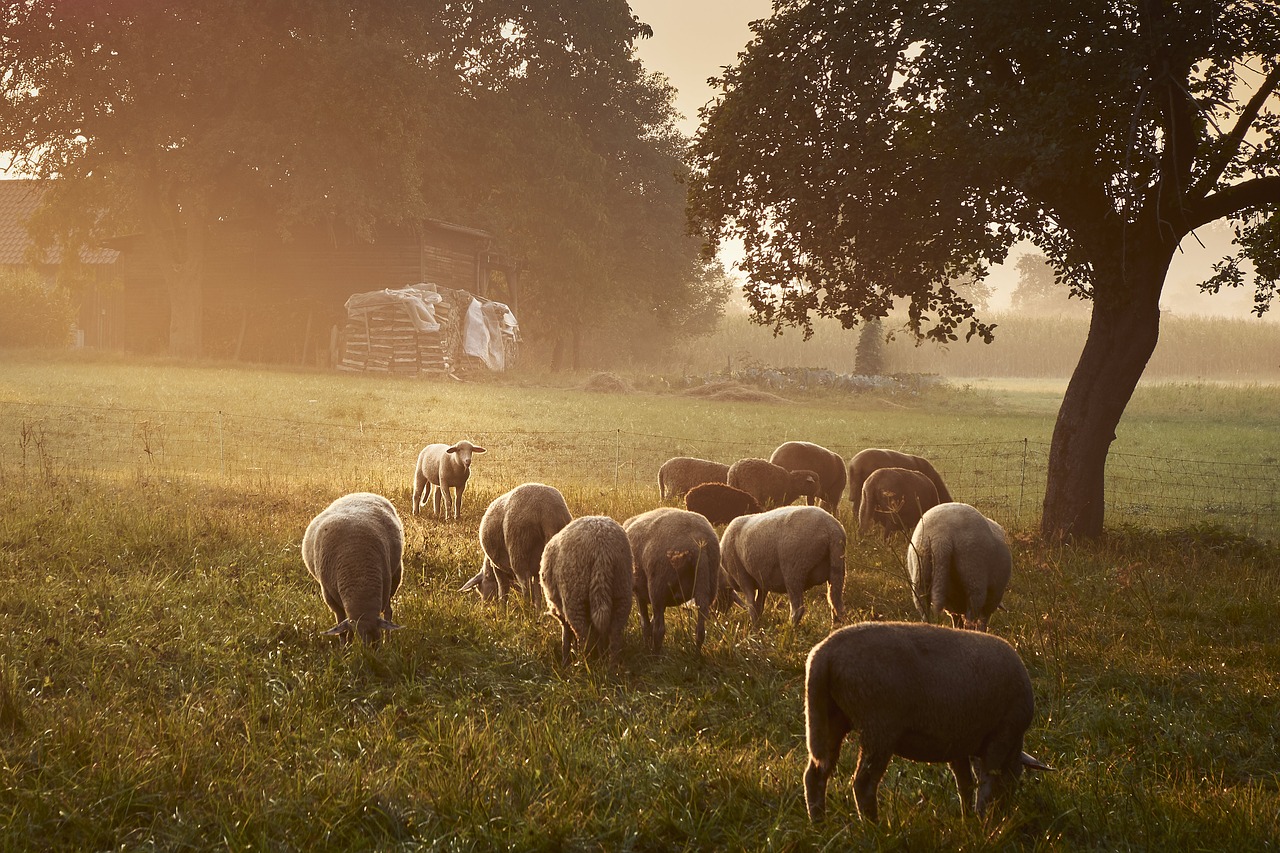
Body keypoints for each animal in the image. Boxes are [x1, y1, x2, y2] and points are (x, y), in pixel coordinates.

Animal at [299, 491, 399, 645]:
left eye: (377, 633)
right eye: (359, 632)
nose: (372, 649)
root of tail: (360, 492)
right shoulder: (330, 596)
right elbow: (342, 623)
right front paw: (345, 646)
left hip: (396, 576)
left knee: (388, 611)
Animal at [537, 512, 632, 666]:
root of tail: (601, 550)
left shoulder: (560, 611)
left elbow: (566, 634)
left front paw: (565, 660)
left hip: (575, 596)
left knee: (584, 636)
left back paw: (583, 665)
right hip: (621, 591)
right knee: (615, 634)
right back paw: (612, 666)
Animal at [624, 504, 727, 650]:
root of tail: (698, 543)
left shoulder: (639, 593)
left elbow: (646, 624)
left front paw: (646, 645)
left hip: (659, 585)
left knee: (659, 630)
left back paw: (655, 653)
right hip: (707, 584)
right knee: (700, 629)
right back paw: (697, 653)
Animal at [803, 622, 1054, 819]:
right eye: (1016, 777)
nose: (1004, 813)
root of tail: (824, 655)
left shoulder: (958, 741)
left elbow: (965, 783)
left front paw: (968, 818)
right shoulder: (1001, 735)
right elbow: (986, 784)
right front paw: (983, 822)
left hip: (830, 718)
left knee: (815, 775)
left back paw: (819, 824)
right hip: (878, 726)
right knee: (863, 784)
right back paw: (874, 829)